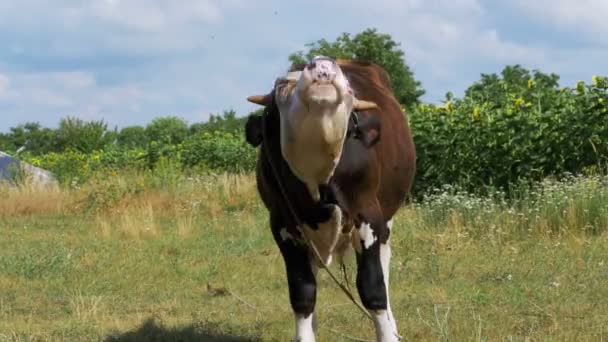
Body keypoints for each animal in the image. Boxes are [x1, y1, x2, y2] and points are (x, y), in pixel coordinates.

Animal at [245, 57, 416, 340]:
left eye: (349, 88)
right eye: (283, 85)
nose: (322, 64)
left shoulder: (368, 215)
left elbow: (373, 288)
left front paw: (387, 331)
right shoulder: (283, 224)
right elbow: (303, 293)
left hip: (386, 220)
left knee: (383, 263)